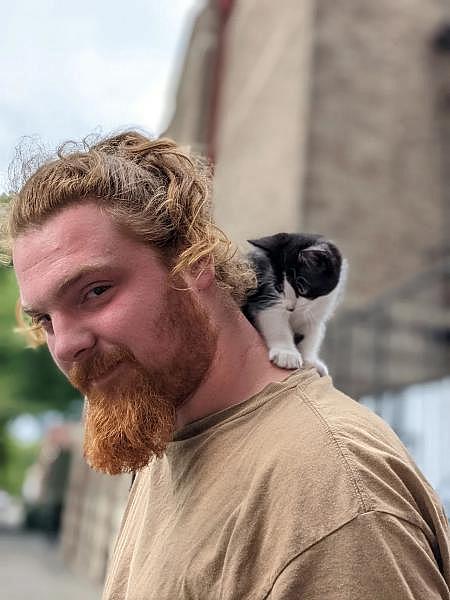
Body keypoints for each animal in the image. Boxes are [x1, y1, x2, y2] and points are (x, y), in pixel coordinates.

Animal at [243, 231, 348, 376]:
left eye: (301, 289)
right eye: (279, 287)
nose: (290, 307)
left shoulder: (320, 311)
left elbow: (311, 335)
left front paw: (310, 361)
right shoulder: (266, 296)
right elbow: (276, 321)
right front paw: (286, 354)